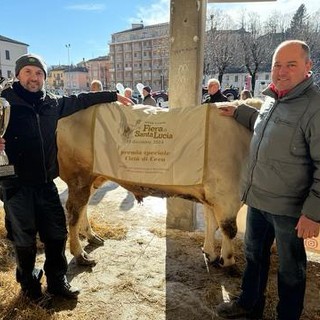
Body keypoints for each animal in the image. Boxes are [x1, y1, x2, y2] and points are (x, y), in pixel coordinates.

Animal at [57, 102, 255, 268]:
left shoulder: (212, 196)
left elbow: (211, 224)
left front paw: (210, 254)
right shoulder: (227, 195)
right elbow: (228, 229)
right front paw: (228, 262)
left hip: (92, 177)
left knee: (83, 207)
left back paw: (92, 236)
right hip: (79, 176)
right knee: (74, 211)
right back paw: (80, 254)